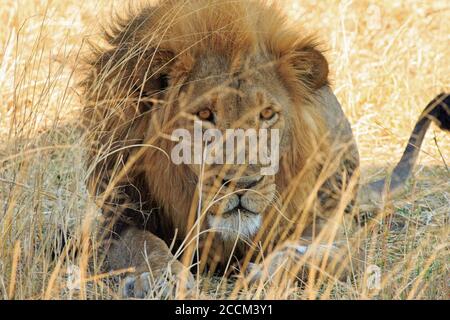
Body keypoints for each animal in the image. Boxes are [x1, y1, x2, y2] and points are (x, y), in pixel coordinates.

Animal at [81, 0, 450, 298]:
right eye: (205, 115)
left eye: (268, 114)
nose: (244, 184)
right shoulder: (118, 217)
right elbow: (144, 247)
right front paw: (163, 280)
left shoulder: (331, 229)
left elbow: (328, 254)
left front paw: (270, 272)